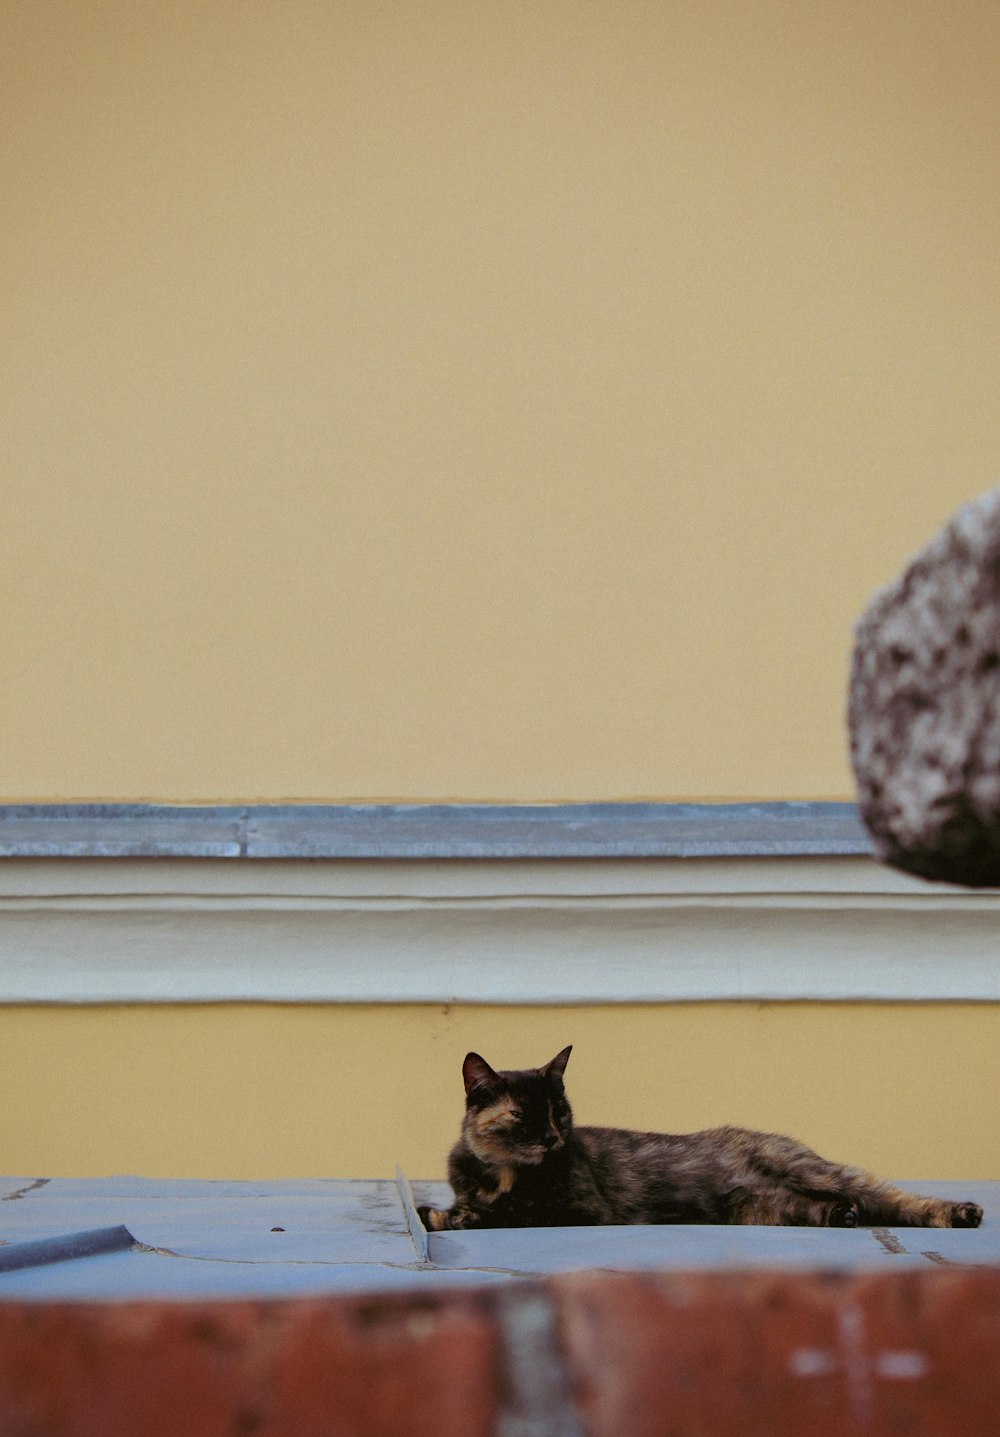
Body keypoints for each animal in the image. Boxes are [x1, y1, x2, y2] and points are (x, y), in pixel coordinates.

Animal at [416, 1046, 982, 1235]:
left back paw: (959, 1212)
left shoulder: (579, 1207)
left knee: (893, 1198)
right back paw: (841, 1215)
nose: (553, 1138)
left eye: (559, 1111)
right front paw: (444, 1213)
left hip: (811, 1171)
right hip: (759, 1208)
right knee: (831, 1208)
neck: (501, 1174)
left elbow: (514, 1211)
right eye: (523, 1115)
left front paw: (456, 1217)